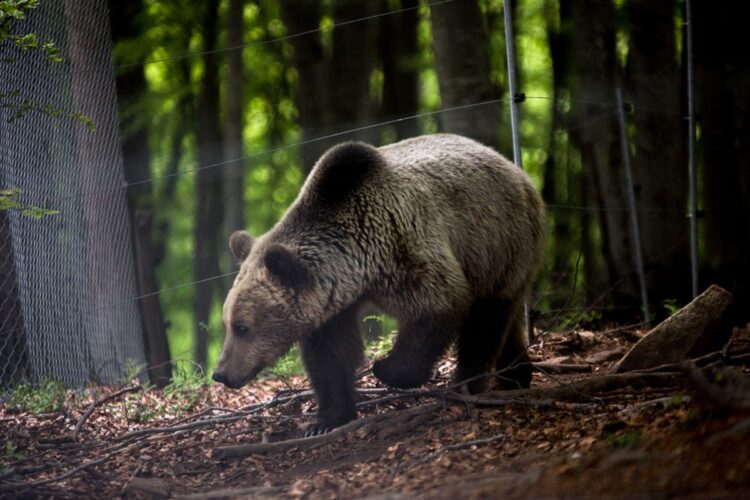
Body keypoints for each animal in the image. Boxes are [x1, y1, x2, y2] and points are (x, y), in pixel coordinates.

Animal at [212, 132, 548, 434]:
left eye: (242, 327)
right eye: (228, 324)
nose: (221, 374)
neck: (360, 266)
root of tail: (514, 169)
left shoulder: (403, 247)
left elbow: (440, 304)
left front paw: (385, 368)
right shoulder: (332, 303)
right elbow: (331, 355)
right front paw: (326, 420)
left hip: (499, 239)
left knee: (485, 321)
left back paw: (467, 385)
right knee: (505, 320)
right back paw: (516, 375)